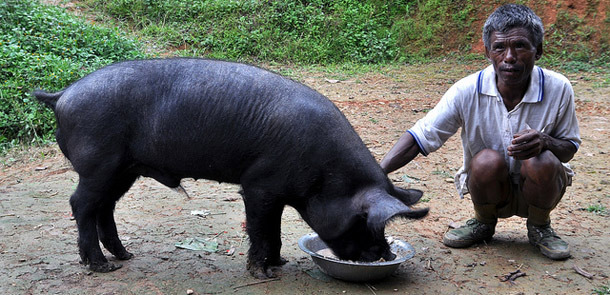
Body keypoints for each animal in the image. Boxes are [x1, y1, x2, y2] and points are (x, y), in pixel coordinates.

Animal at [34, 58, 428, 280]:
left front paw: (281, 263)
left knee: (106, 207)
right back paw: (102, 266)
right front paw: (264, 273)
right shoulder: (258, 186)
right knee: (81, 204)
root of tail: (63, 95)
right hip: (98, 163)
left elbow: (275, 231)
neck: (326, 175)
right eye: (365, 222)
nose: (387, 255)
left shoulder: (277, 193)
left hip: (124, 170)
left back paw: (125, 255)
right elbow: (260, 229)